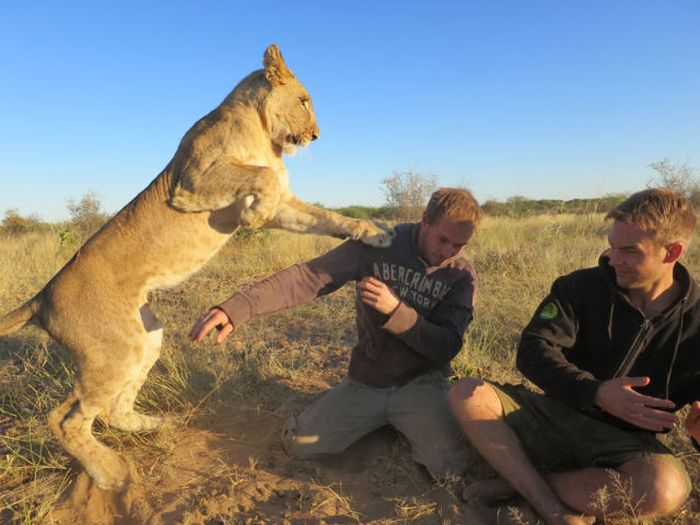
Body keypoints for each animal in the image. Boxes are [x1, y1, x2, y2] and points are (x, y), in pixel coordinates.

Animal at [0, 45, 394, 492]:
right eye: (305, 100)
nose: (316, 136)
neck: (263, 131)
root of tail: (42, 296)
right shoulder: (190, 180)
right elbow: (260, 176)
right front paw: (253, 215)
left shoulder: (285, 206)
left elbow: (325, 217)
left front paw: (375, 232)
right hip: (115, 352)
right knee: (64, 419)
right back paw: (111, 472)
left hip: (144, 336)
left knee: (109, 410)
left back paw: (154, 425)